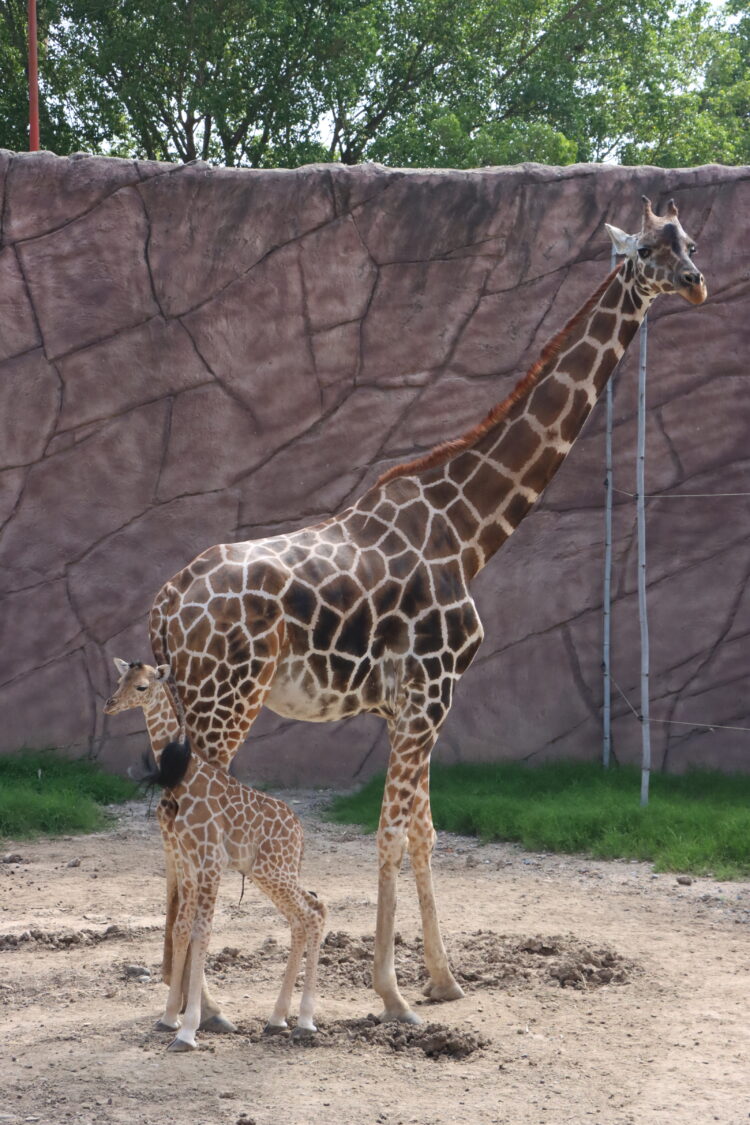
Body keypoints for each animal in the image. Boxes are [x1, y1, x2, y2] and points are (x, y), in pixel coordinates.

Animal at [104, 659, 327, 1051]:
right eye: (120, 680)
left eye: (142, 686)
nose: (110, 704)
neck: (184, 776)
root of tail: (300, 834)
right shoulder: (188, 862)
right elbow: (181, 929)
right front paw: (168, 1019)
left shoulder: (210, 861)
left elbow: (203, 932)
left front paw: (189, 1030)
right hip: (267, 873)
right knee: (305, 914)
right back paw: (277, 1019)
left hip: (274, 871)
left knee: (313, 913)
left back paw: (305, 1022)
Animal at [146, 196, 706, 1025]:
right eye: (647, 251)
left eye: (688, 242)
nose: (697, 283)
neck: (468, 531)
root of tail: (169, 599)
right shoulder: (429, 692)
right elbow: (389, 833)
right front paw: (393, 994)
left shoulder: (415, 702)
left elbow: (424, 832)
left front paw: (444, 978)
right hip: (225, 699)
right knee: (189, 821)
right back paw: (202, 1006)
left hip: (193, 702)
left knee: (179, 821)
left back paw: (190, 999)